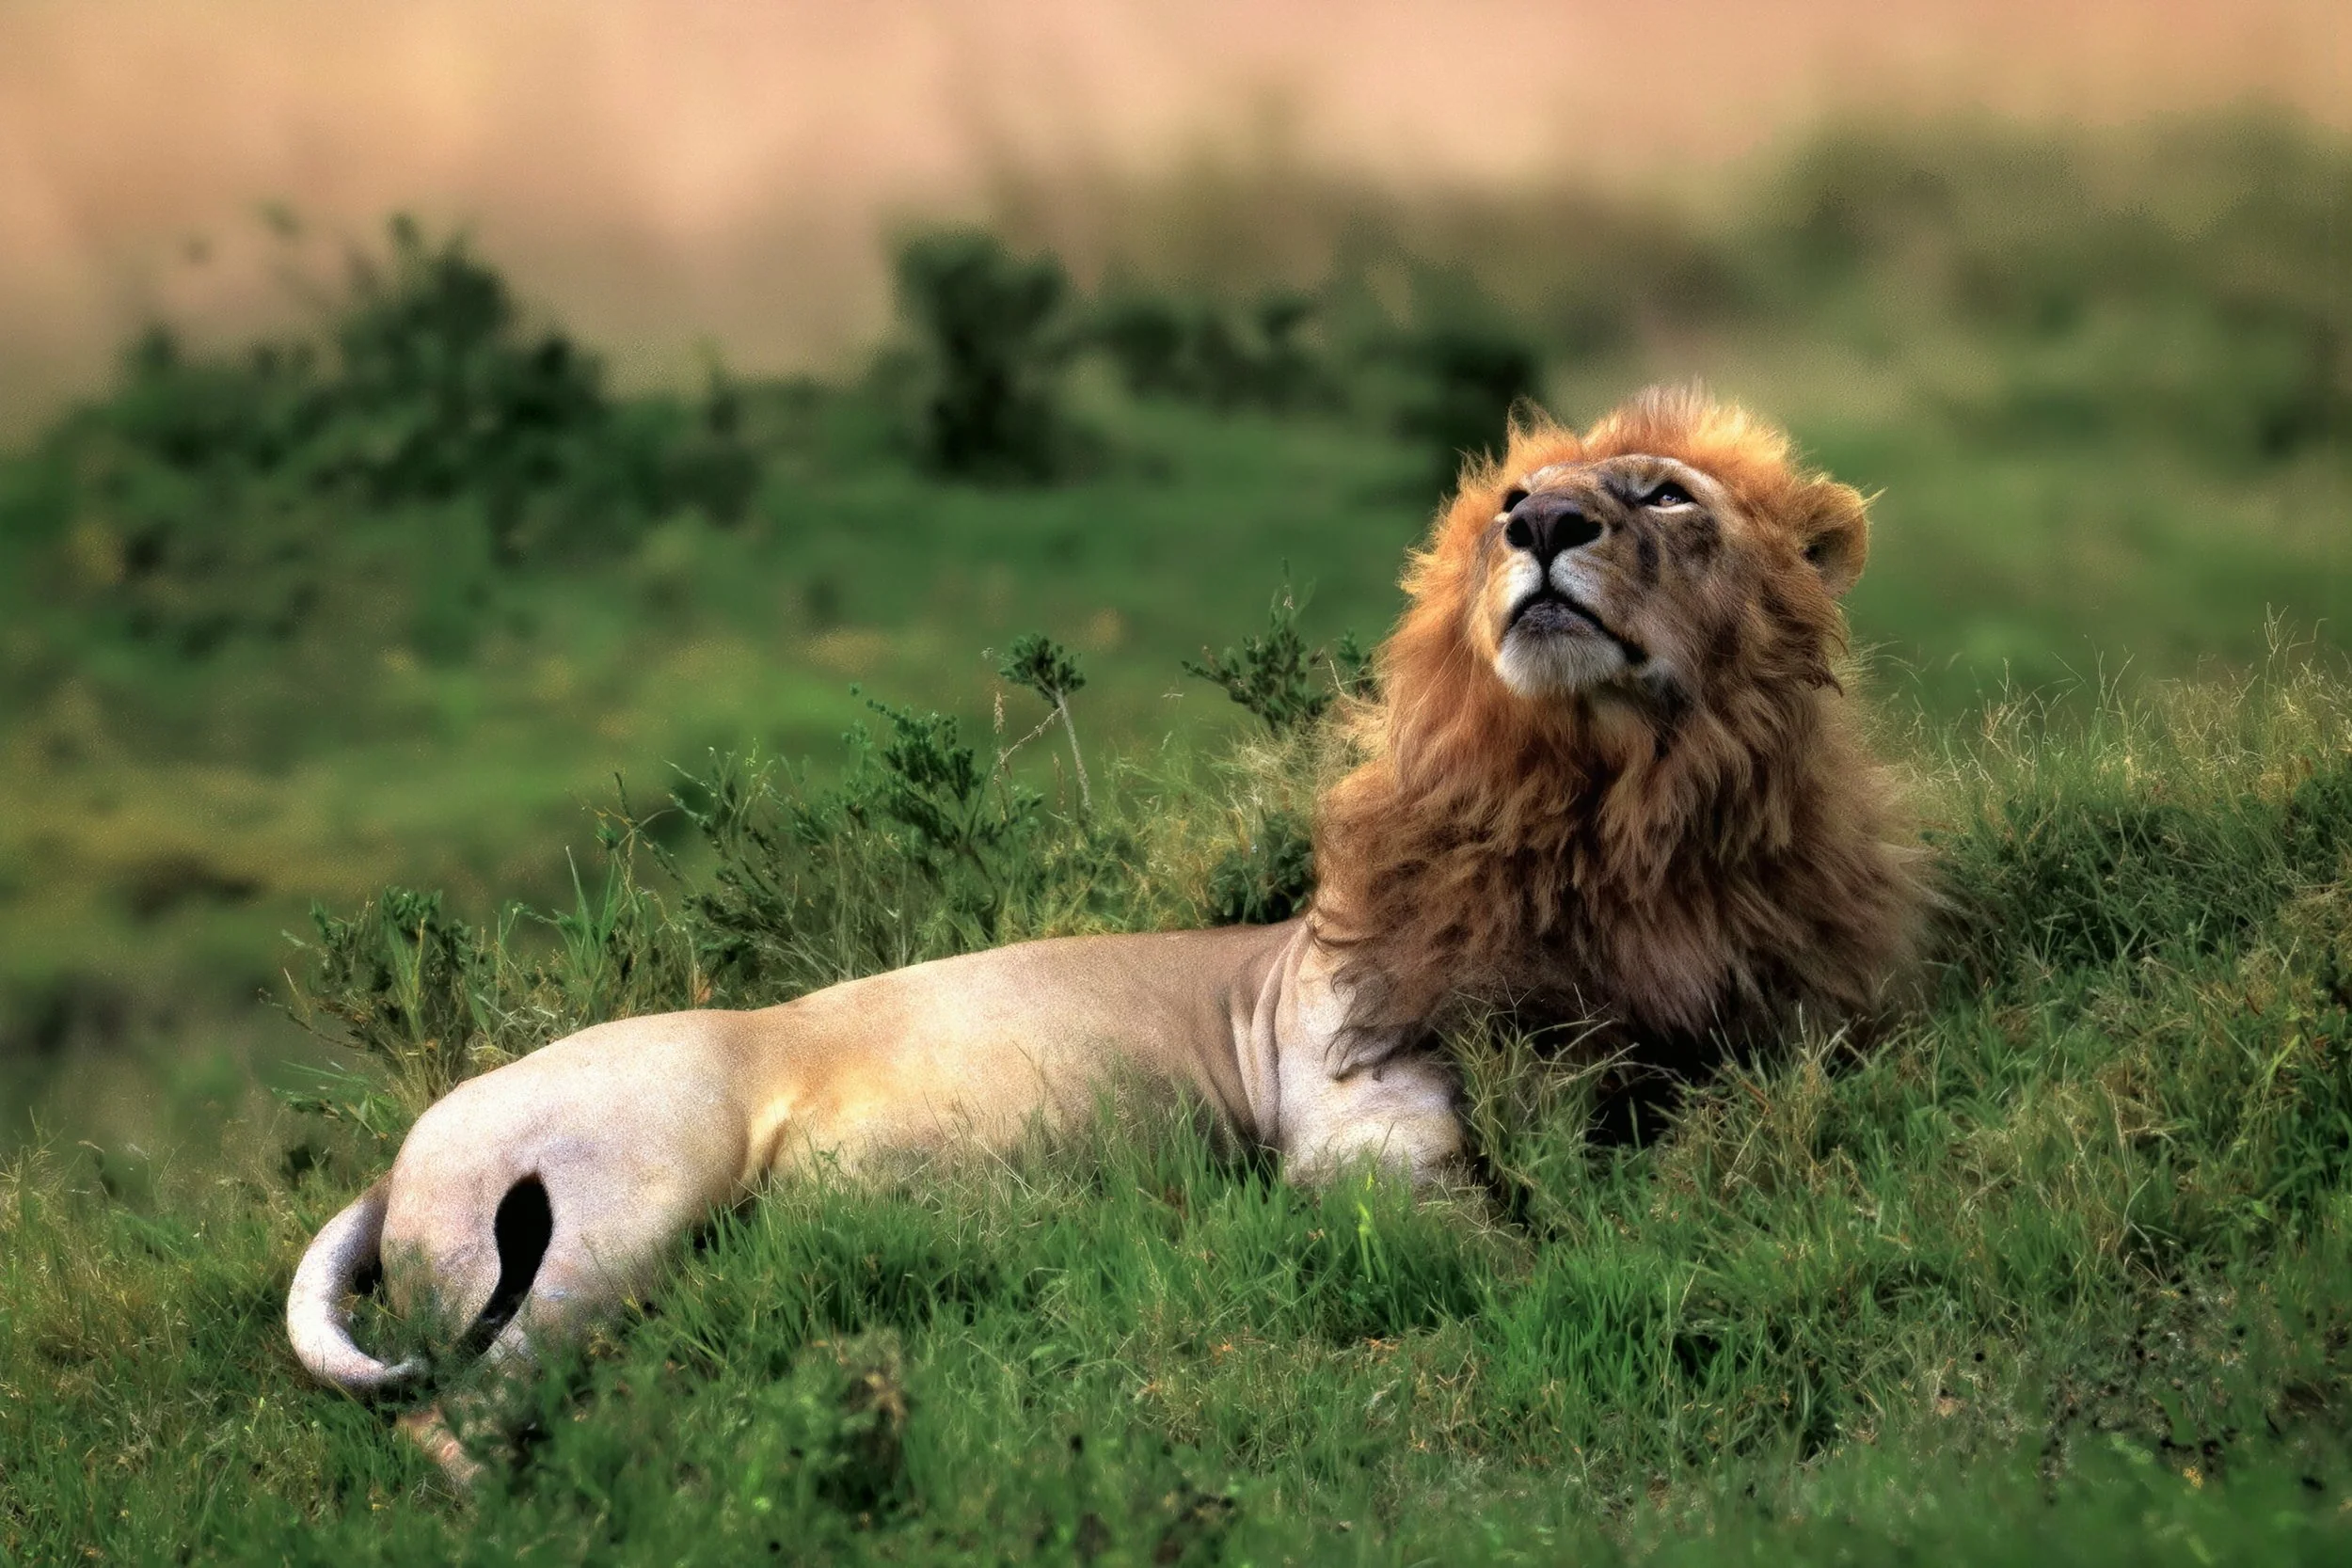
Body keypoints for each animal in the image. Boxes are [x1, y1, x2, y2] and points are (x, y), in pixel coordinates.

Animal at [287, 386, 1924, 1482]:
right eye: (1523, 490)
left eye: (1666, 496)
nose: (1541, 524)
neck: (1612, 813)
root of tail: (400, 1150)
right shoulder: (1359, 1123)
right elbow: (1504, 1236)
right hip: (628, 1190)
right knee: (453, 1411)